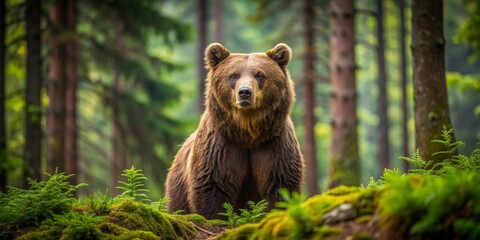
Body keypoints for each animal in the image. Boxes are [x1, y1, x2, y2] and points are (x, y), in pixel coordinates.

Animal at [166, 43, 304, 219]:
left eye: (260, 75)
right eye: (233, 75)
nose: (245, 92)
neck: (247, 133)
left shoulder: (274, 144)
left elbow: (280, 185)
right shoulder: (221, 146)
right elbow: (214, 186)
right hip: (178, 187)